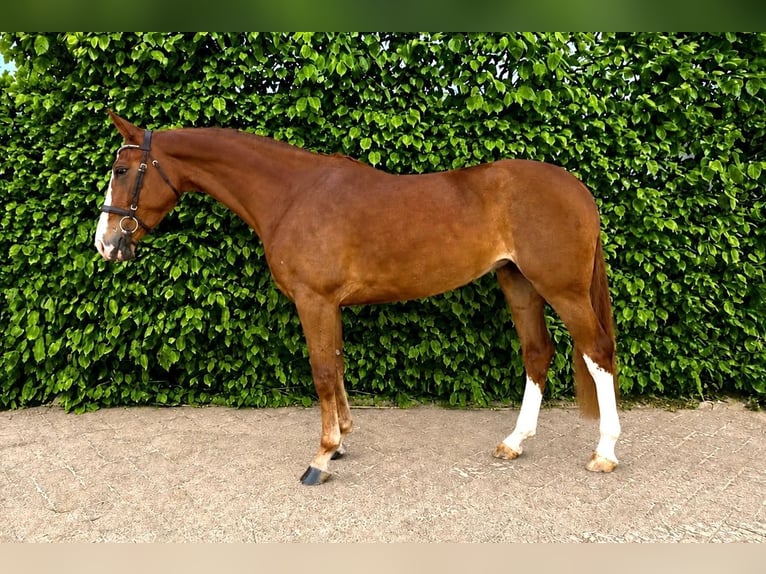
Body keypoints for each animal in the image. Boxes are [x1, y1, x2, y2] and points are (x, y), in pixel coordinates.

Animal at [95, 110, 621, 485]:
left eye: (121, 169)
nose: (105, 243)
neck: (293, 195)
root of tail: (578, 189)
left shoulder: (314, 300)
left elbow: (323, 371)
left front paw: (322, 457)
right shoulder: (330, 305)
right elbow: (337, 362)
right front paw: (343, 440)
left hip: (562, 288)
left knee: (597, 352)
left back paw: (604, 453)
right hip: (518, 283)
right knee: (537, 353)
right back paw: (514, 442)